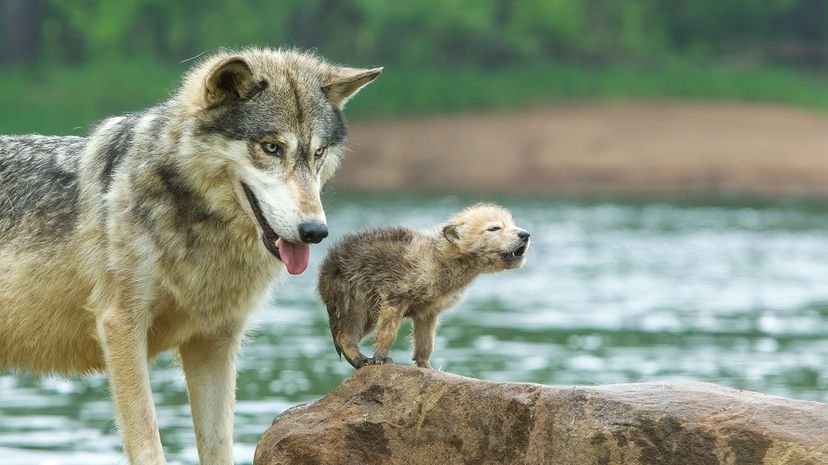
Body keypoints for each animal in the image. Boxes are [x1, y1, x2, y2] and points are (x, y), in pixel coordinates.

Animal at [0, 48, 382, 464]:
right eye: (271, 147)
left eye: (318, 153)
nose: (315, 231)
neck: (199, 227)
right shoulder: (121, 327)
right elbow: (148, 445)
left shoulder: (214, 343)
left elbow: (219, 447)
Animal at [316, 205, 532, 368]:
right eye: (494, 228)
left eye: (511, 224)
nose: (525, 234)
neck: (442, 258)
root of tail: (324, 271)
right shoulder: (396, 293)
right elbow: (388, 330)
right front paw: (381, 358)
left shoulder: (428, 310)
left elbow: (425, 341)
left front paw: (426, 365)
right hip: (353, 294)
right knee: (345, 334)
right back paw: (360, 359)